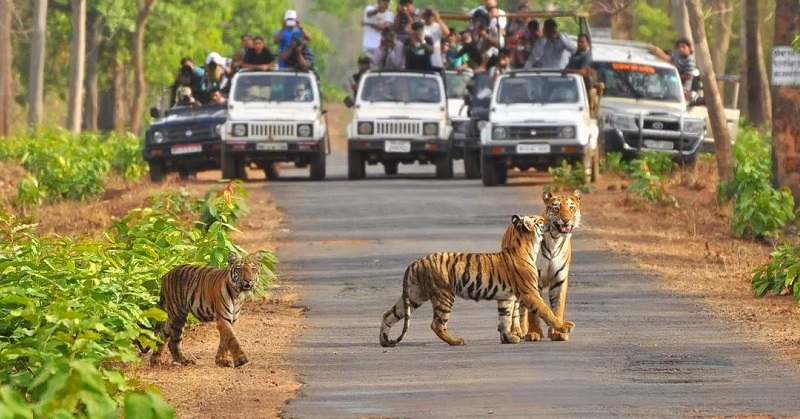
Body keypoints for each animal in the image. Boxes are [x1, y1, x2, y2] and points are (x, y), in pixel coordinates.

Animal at [380, 213, 576, 348]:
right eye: (540, 220)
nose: (549, 219)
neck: (528, 245)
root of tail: (415, 262)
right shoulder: (529, 292)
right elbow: (546, 311)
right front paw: (564, 327)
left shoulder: (506, 297)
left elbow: (504, 318)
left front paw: (508, 338)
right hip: (443, 295)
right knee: (437, 324)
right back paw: (456, 341)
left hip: (415, 295)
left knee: (389, 314)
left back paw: (385, 341)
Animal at [510, 190, 584, 344]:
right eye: (556, 208)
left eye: (572, 208)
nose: (566, 220)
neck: (555, 239)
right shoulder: (533, 280)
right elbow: (534, 311)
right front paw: (534, 333)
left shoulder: (559, 280)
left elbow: (557, 307)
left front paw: (558, 333)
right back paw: (517, 331)